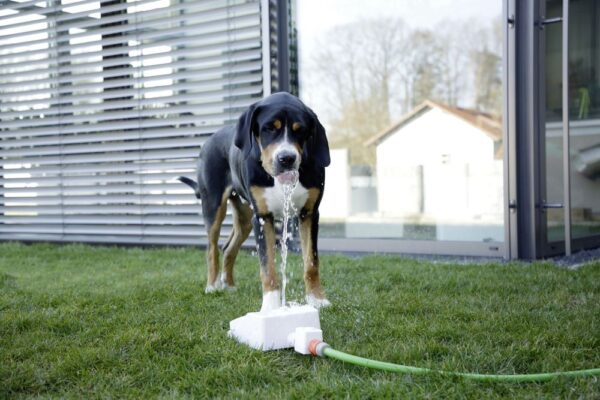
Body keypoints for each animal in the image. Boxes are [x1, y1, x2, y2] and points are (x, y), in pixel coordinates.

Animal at [178, 92, 330, 310]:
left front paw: (317, 299)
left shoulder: (309, 214)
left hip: (245, 218)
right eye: (269, 128)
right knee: (212, 248)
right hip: (214, 207)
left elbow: (311, 262)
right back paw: (212, 286)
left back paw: (229, 285)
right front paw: (271, 306)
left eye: (300, 130)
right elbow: (267, 267)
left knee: (228, 248)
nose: (287, 158)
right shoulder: (263, 217)